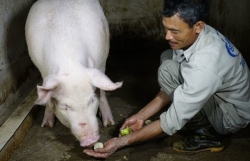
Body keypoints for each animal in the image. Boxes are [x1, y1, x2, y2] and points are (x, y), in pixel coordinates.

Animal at [24, 0, 122, 147]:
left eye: (91, 100)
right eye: (64, 106)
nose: (90, 139)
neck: (70, 63)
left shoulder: (98, 63)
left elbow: (101, 90)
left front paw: (109, 124)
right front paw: (46, 125)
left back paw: (108, 122)